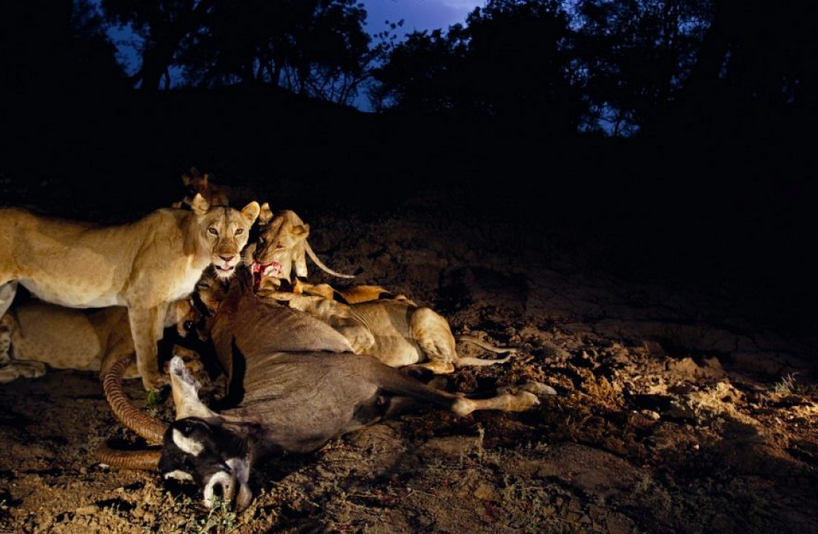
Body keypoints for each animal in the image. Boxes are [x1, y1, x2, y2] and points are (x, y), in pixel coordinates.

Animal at [0, 195, 258, 392]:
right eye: (213, 230)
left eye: (239, 231)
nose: (227, 257)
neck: (195, 252)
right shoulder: (141, 301)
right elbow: (147, 348)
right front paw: (154, 383)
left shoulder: (161, 303)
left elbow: (157, 340)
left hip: (7, 292)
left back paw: (31, 367)